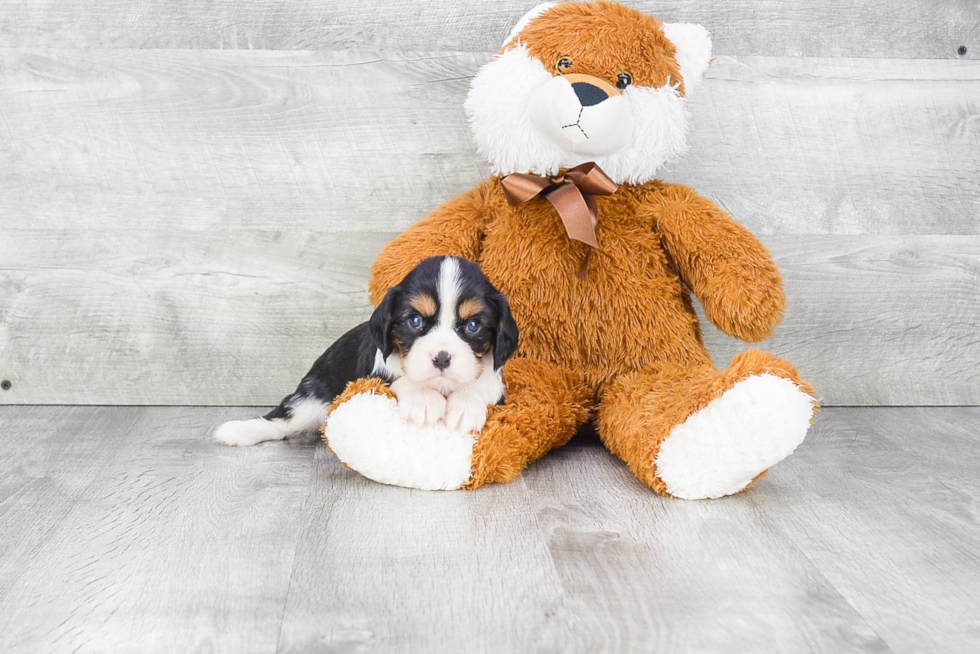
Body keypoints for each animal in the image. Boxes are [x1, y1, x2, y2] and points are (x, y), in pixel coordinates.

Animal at [214, 255, 520, 446]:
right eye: (415, 321)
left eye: (472, 325)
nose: (442, 357)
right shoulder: (375, 372)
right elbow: (400, 380)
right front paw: (423, 400)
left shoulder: (497, 382)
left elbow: (481, 383)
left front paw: (465, 406)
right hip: (310, 401)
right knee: (282, 420)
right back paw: (238, 431)